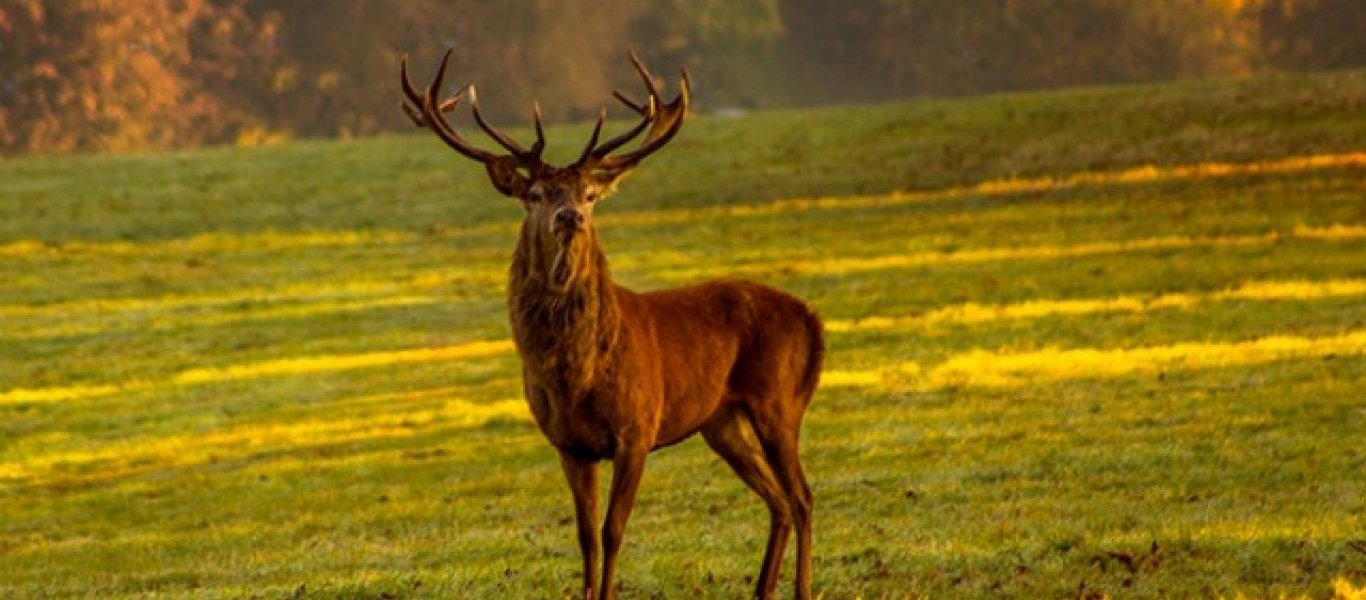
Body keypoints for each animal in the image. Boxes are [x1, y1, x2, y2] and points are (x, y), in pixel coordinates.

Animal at [396, 48, 819, 600]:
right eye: (535, 194)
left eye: (590, 195)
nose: (570, 216)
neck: (578, 376)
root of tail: (811, 319)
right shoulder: (569, 444)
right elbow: (585, 536)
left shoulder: (637, 429)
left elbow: (614, 529)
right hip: (721, 421)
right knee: (778, 500)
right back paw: (763, 590)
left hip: (779, 401)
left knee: (803, 496)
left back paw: (802, 588)